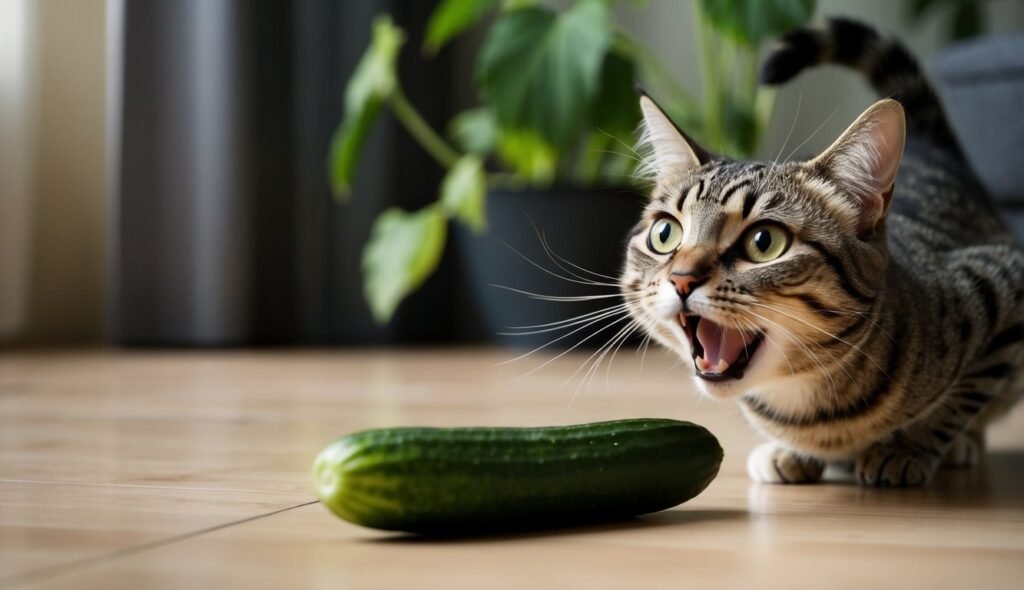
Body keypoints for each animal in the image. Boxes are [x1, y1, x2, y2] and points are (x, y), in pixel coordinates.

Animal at [622, 19, 1024, 487]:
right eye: (665, 233)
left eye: (764, 242)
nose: (682, 278)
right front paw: (789, 451)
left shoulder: (1006, 284)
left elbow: (964, 397)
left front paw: (907, 449)